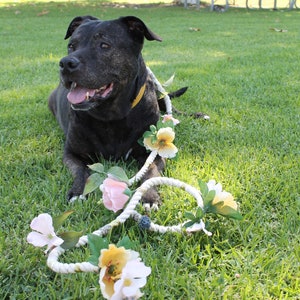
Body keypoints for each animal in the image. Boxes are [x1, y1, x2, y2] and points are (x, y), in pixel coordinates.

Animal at [49, 15, 173, 205]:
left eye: (104, 45)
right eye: (71, 46)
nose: (66, 63)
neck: (111, 116)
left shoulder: (154, 153)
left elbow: (150, 173)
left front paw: (149, 196)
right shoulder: (72, 153)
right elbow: (81, 170)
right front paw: (78, 191)